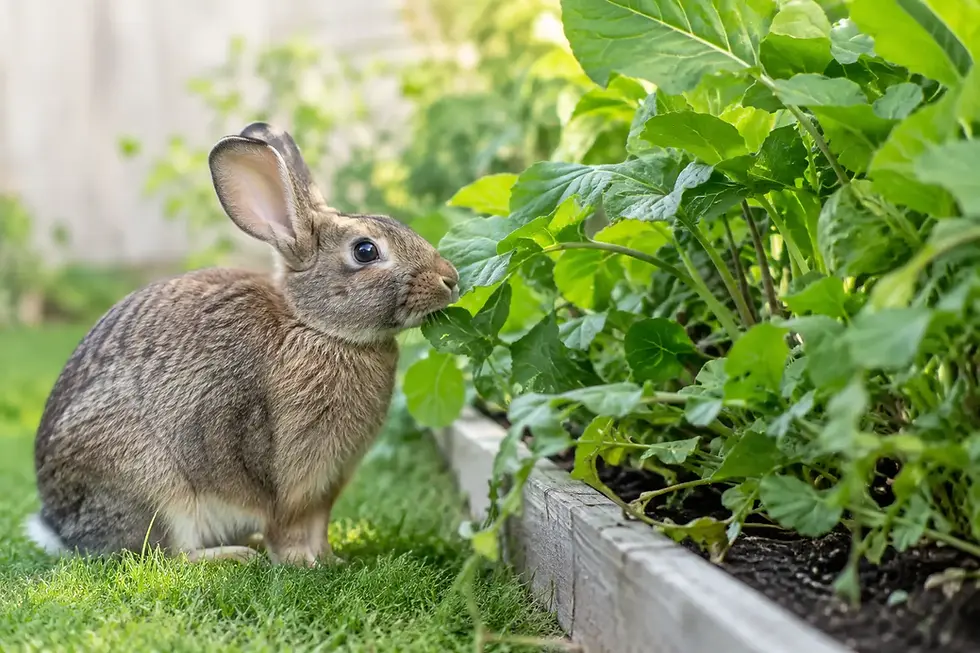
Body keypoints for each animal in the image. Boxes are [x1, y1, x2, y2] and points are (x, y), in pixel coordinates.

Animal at [26, 122, 459, 566]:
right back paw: (234, 554)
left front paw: (330, 560)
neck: (312, 324)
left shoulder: (326, 485)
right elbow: (287, 524)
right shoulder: (293, 476)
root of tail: (63, 530)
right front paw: (301, 563)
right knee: (166, 552)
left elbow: (318, 525)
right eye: (365, 251)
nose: (450, 279)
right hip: (149, 484)